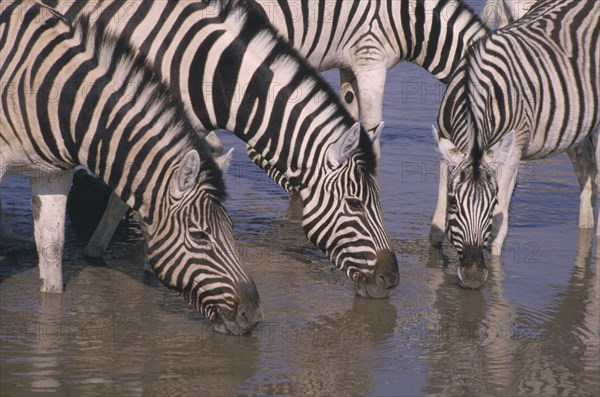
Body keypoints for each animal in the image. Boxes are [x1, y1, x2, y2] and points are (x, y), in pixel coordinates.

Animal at [434, 0, 596, 288]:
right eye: (455, 204)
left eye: (490, 206)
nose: (473, 277)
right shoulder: (446, 145)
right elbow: (439, 218)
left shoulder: (511, 152)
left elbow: (501, 222)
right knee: (586, 168)